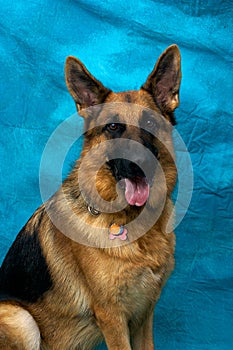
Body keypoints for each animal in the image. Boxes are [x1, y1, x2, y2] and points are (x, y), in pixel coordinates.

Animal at [0, 45, 181, 348]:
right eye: (113, 127)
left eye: (149, 122)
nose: (138, 164)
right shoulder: (112, 318)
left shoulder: (144, 316)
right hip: (21, 319)